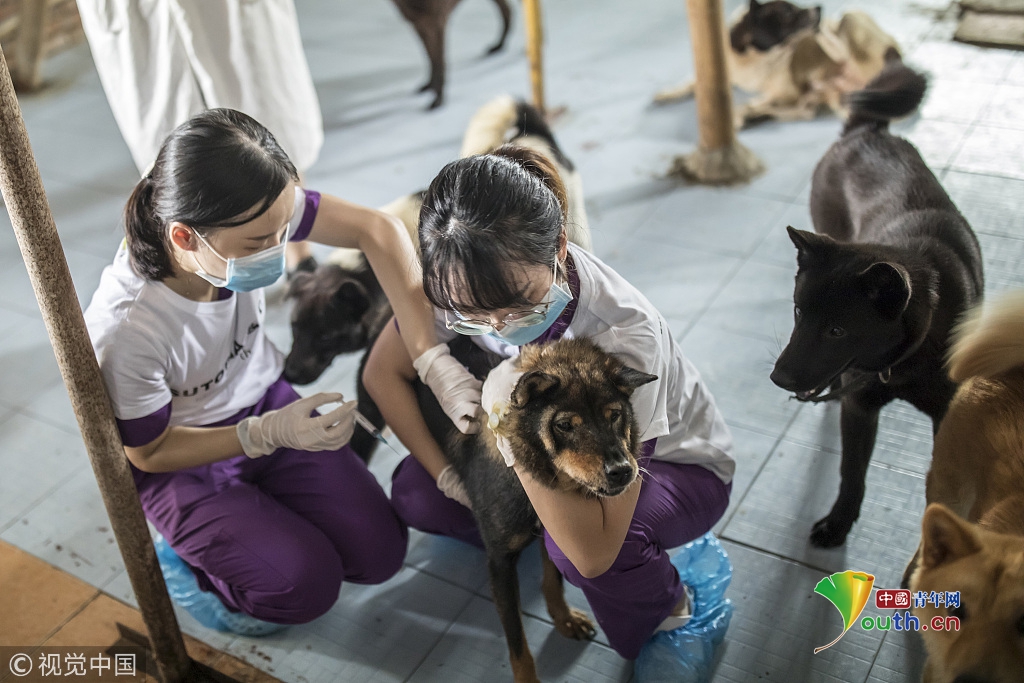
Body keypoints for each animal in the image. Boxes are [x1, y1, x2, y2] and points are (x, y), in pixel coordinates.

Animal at [413, 335, 659, 683]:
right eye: (565, 424)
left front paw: (564, 618)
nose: (623, 471)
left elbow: (553, 579)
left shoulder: (558, 532)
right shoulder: (500, 562)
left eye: (614, 415)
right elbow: (517, 641)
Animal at [651, 0, 901, 126]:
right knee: (803, 111)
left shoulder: (786, 92)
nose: (819, 8)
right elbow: (689, 84)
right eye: (788, 12)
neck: (753, 58)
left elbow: (755, 100)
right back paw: (754, 117)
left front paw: (743, 110)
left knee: (838, 42)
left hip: (851, 17)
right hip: (825, 100)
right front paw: (667, 94)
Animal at [774, 61, 983, 548]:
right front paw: (838, 523)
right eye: (798, 312)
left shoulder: (945, 414)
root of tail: (866, 130)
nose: (779, 378)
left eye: (837, 330)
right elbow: (852, 472)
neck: (901, 360)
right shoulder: (860, 407)